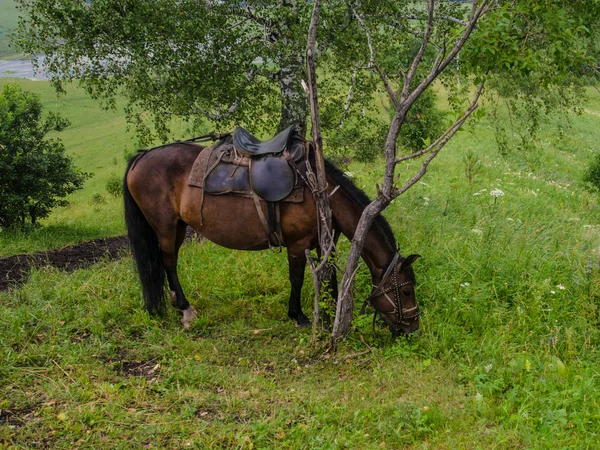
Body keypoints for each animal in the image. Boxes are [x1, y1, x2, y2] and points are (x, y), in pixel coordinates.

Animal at [122, 132, 422, 336]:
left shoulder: (325, 243)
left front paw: (330, 313)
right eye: (406, 291)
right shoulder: (297, 244)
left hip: (178, 226)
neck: (322, 193)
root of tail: (141, 156)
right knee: (169, 262)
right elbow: (297, 279)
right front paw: (298, 316)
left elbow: (330, 277)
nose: (413, 326)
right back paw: (185, 310)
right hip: (164, 226)